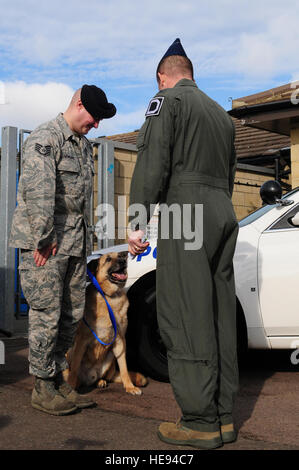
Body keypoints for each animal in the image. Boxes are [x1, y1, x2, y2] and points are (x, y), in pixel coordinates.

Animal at [65, 252, 148, 394]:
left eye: (120, 256)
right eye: (108, 259)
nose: (123, 260)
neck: (110, 297)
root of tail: (88, 378)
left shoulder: (120, 341)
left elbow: (124, 368)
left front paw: (129, 386)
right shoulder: (81, 341)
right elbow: (75, 367)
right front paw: (70, 386)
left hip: (110, 358)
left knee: (101, 377)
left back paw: (100, 381)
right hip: (71, 351)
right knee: (72, 373)